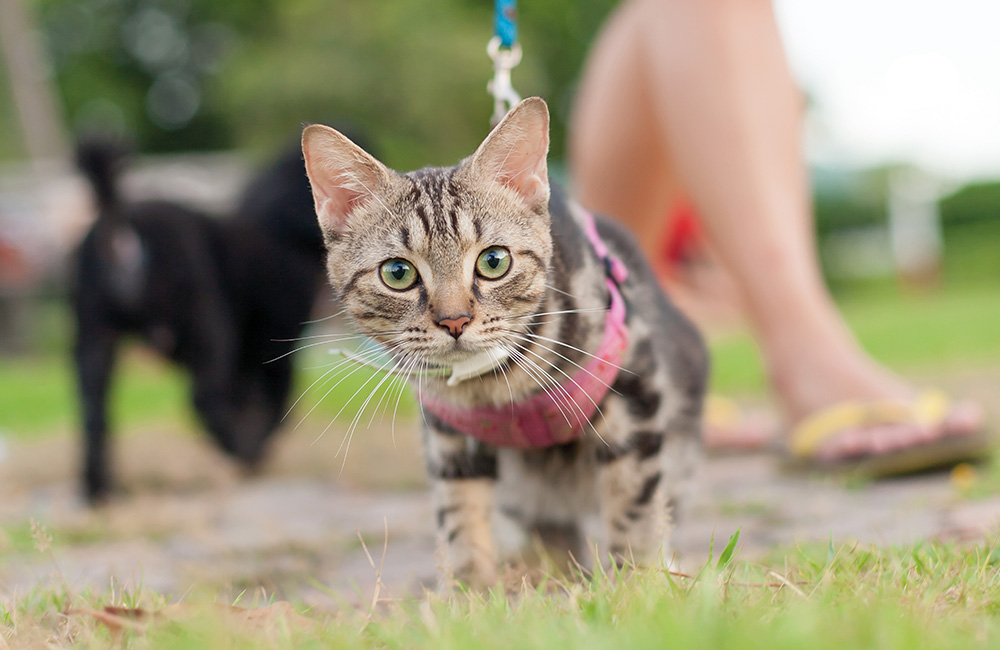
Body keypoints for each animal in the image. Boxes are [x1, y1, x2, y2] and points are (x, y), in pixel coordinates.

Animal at [72, 138, 326, 502]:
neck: (278, 231)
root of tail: (118, 225)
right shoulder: (276, 342)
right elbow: (276, 401)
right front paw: (255, 448)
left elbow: (247, 397)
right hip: (207, 323)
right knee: (203, 398)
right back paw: (240, 449)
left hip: (94, 336)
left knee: (94, 414)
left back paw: (98, 491)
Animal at [300, 97, 708, 588]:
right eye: (397, 273)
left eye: (493, 261)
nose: (454, 320)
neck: (496, 383)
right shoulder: (451, 437)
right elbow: (460, 519)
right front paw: (470, 594)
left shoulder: (635, 387)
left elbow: (635, 504)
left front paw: (638, 583)